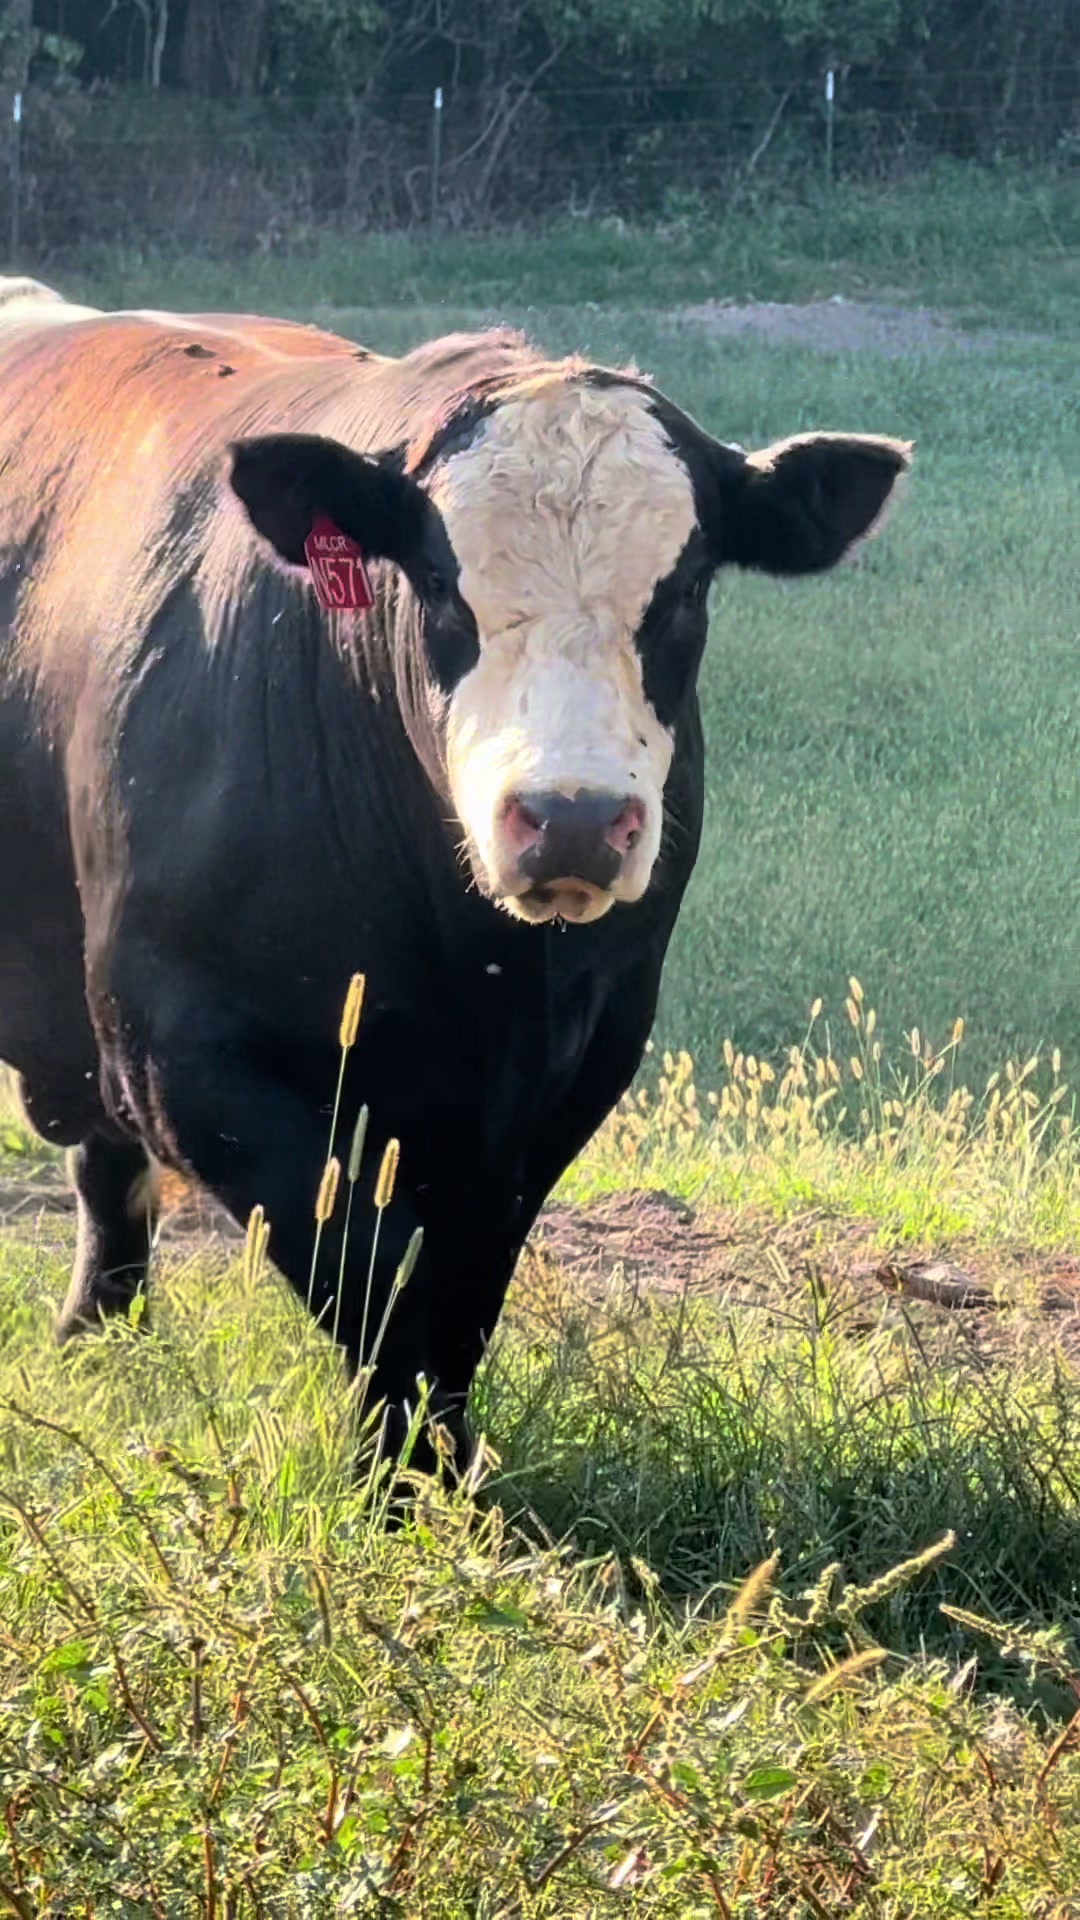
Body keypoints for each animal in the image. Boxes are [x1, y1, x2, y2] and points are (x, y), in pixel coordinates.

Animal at [0, 278, 910, 1478]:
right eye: (439, 582)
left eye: (684, 590)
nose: (571, 818)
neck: (471, 960)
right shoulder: (184, 1053)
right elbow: (364, 1271)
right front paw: (396, 1479)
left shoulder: (565, 1074)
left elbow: (460, 1287)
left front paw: (444, 1468)